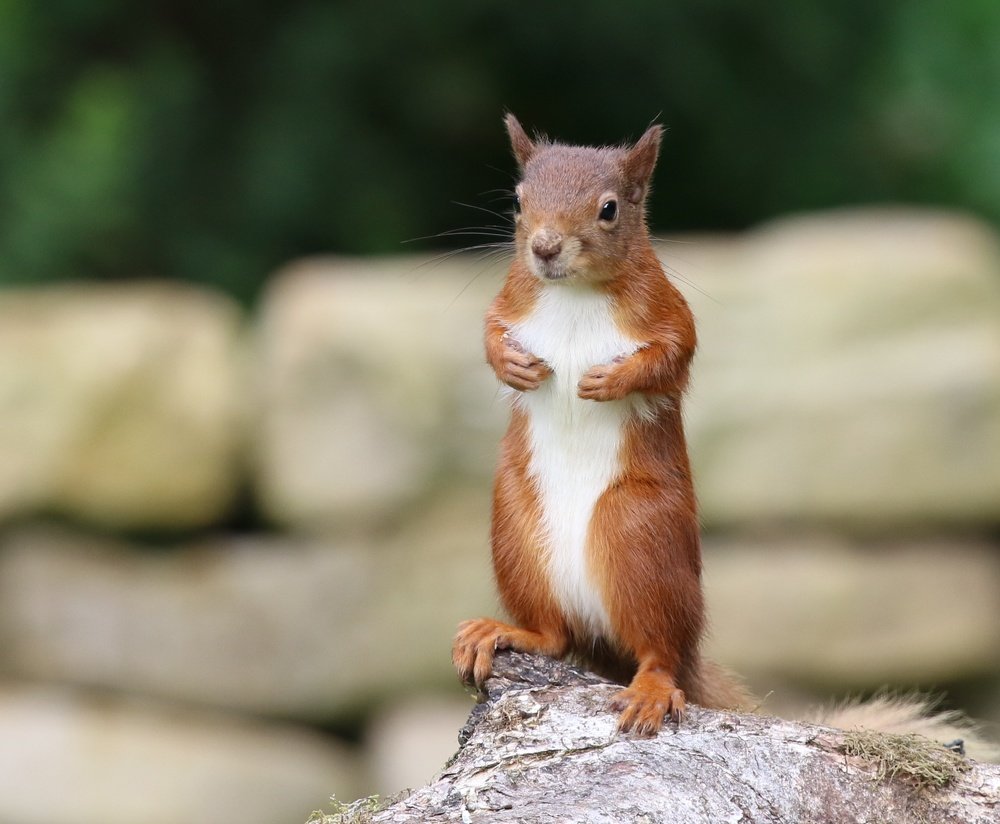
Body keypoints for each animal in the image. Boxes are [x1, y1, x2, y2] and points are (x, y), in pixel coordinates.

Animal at [452, 115, 1000, 755]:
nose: (543, 247)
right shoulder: (511, 299)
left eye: (609, 209)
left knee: (659, 651)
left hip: (640, 538)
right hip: (518, 531)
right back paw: (508, 633)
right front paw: (512, 366)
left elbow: (673, 355)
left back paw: (652, 687)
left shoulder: (668, 309)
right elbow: (490, 333)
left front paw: (611, 381)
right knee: (556, 636)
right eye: (518, 200)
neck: (572, 293)